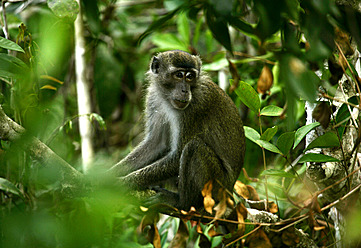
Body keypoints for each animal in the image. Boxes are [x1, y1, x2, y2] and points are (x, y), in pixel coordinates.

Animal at [109, 50, 245, 211]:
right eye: (179, 75)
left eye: (190, 76)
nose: (185, 90)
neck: (166, 97)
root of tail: (230, 191)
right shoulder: (153, 98)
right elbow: (155, 144)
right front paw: (104, 176)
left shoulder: (195, 108)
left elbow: (178, 155)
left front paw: (121, 183)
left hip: (218, 186)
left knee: (194, 148)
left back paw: (182, 203)